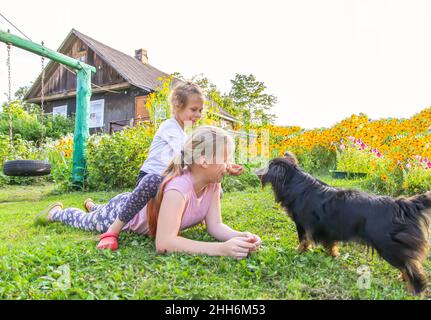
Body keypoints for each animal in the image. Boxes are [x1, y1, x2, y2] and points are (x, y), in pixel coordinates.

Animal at [258, 152, 431, 296]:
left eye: (267, 165)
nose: (256, 171)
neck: (295, 182)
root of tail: (401, 204)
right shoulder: (328, 229)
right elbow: (331, 244)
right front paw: (332, 255)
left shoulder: (302, 224)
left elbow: (303, 240)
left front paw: (298, 251)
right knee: (409, 264)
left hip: (389, 246)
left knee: (412, 269)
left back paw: (415, 290)